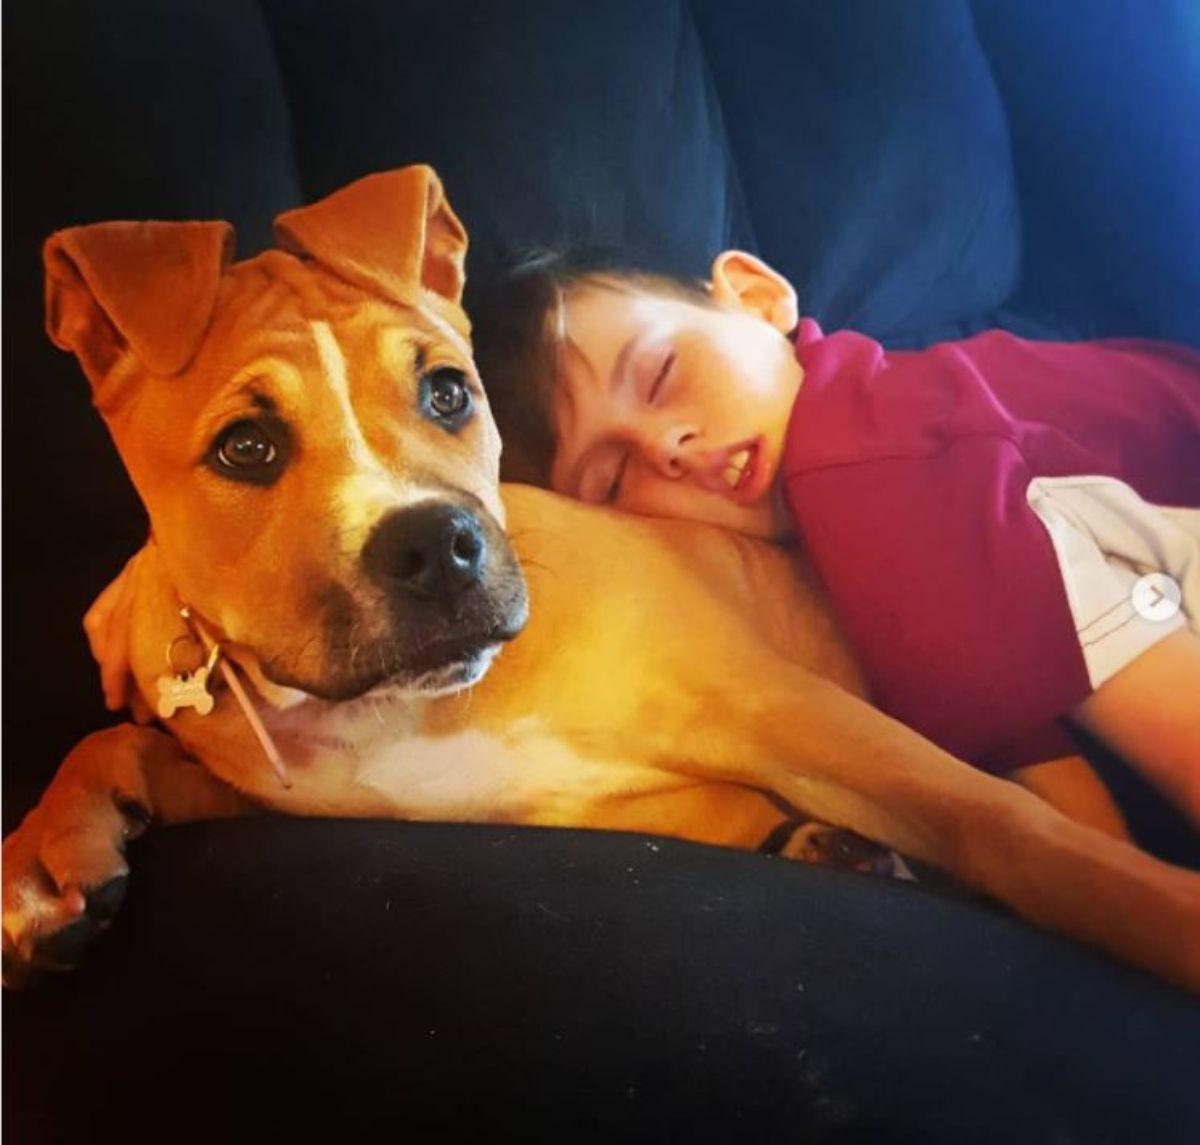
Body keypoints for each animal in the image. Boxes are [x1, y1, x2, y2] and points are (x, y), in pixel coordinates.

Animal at [2, 166, 1200, 988]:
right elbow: (113, 741)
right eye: (244, 448)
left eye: (448, 391)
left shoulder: (793, 710)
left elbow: (1018, 834)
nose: (438, 546)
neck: (405, 712)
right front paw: (50, 858)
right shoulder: (291, 794)